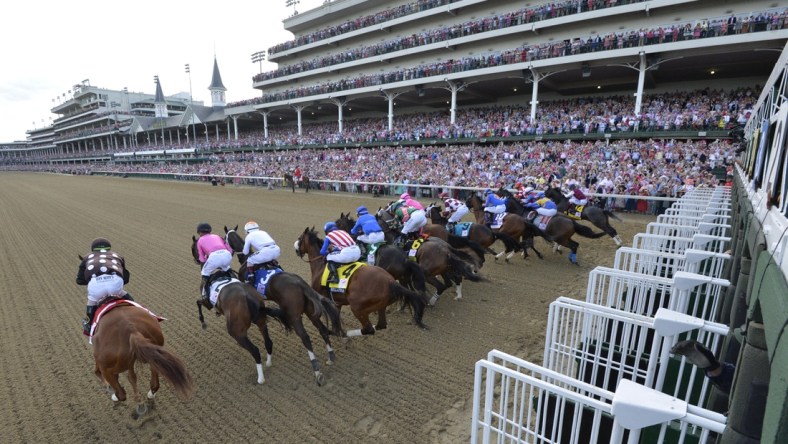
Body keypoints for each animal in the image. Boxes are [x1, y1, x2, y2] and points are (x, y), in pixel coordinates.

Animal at [294, 227, 428, 334]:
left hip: (358, 307)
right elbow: (336, 316)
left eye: (300, 238)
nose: (296, 249)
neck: (320, 265)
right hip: (398, 282)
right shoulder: (336, 301)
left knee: (369, 328)